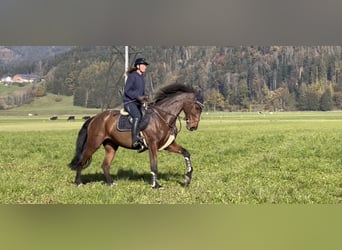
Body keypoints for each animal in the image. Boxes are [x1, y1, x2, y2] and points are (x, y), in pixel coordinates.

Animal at [68, 83, 204, 188]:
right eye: (197, 107)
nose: (193, 127)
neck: (163, 117)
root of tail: (95, 118)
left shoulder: (168, 145)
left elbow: (186, 153)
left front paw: (187, 178)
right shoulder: (152, 145)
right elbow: (154, 165)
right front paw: (156, 185)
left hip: (111, 145)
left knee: (105, 165)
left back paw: (111, 183)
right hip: (94, 144)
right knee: (82, 161)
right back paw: (79, 183)